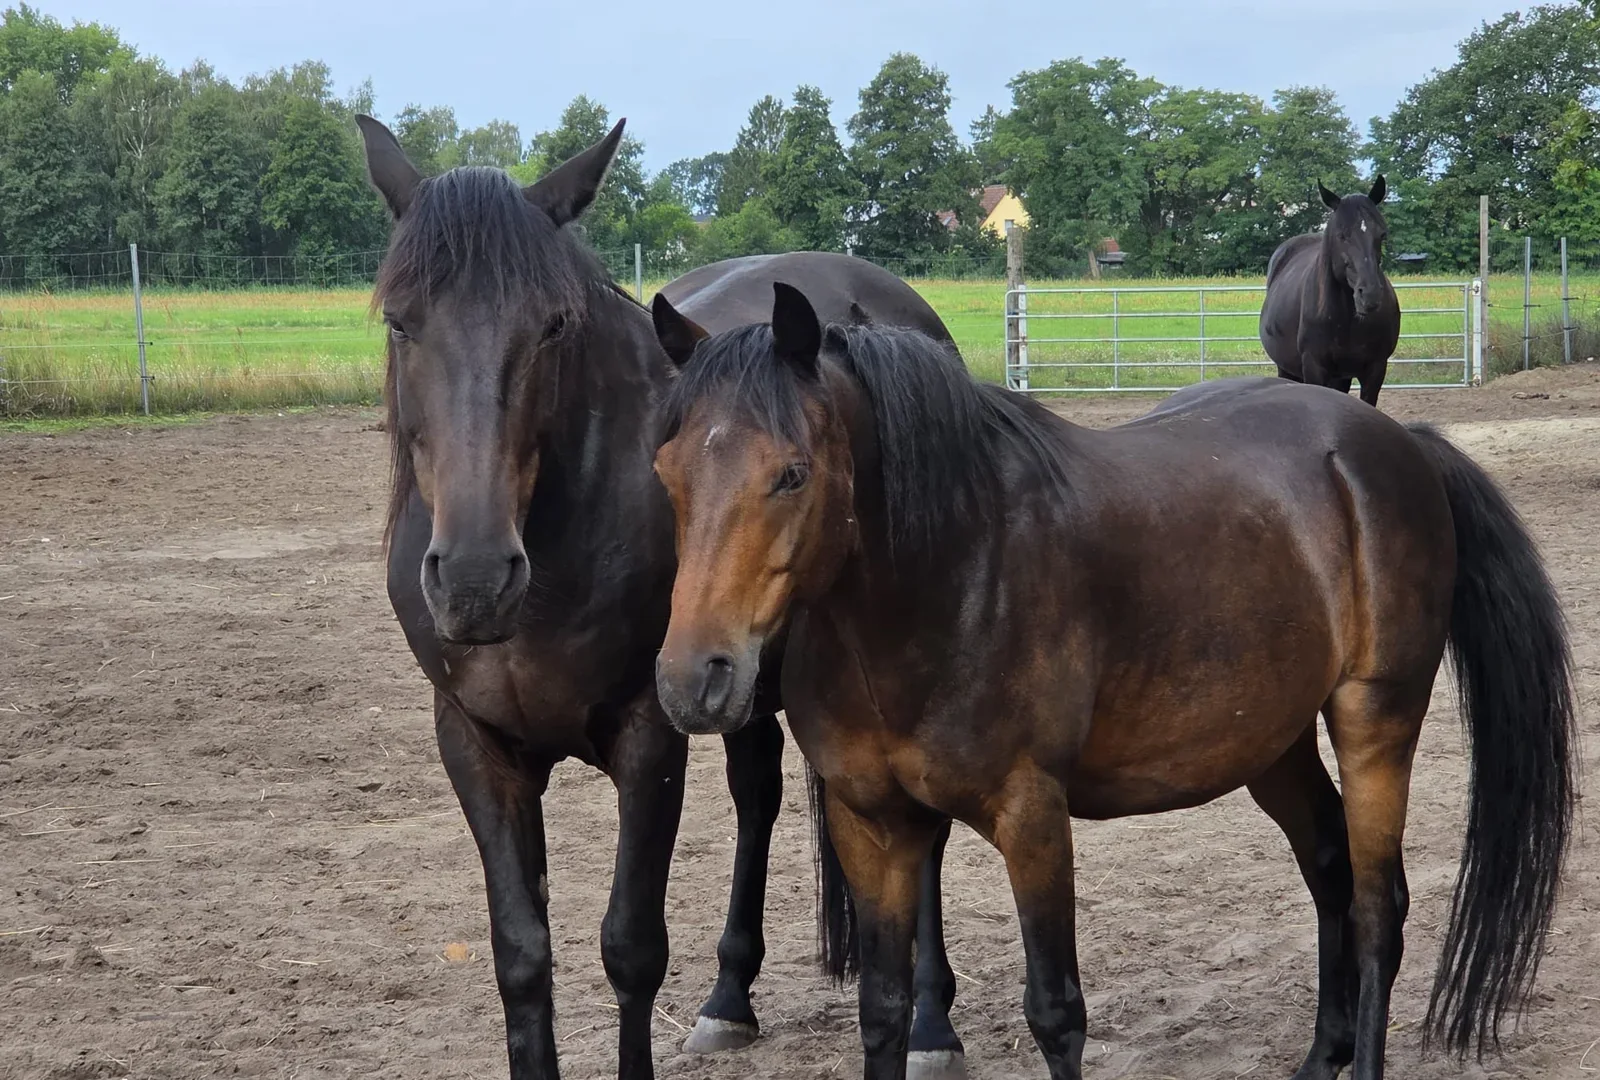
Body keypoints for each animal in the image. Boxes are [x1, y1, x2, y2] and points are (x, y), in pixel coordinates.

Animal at [354, 117, 970, 1079]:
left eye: (554, 325)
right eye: (400, 321)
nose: (476, 578)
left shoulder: (650, 734)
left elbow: (631, 947)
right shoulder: (476, 743)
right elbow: (520, 954)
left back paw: (934, 1024)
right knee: (759, 795)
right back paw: (729, 999)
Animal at [648, 282, 1576, 1080]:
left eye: (792, 473)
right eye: (667, 472)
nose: (696, 678)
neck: (950, 573)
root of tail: (1393, 442)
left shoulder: (1031, 816)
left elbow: (1056, 1011)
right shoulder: (872, 823)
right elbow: (881, 1008)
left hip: (1376, 720)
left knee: (1381, 910)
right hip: (1271, 742)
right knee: (1330, 874)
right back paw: (1321, 1058)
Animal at [1260, 176, 1400, 405]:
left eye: (1382, 234)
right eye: (1342, 235)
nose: (1370, 295)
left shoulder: (1375, 369)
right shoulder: (1314, 367)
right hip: (1287, 368)